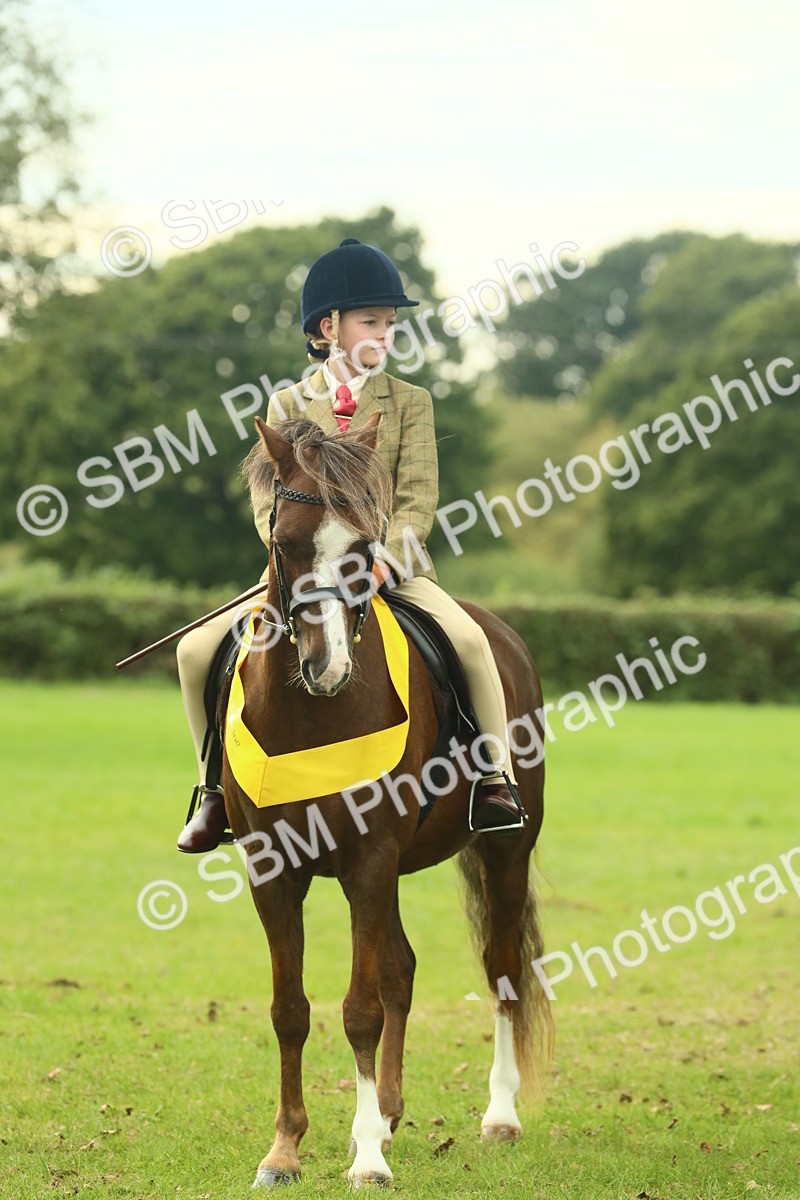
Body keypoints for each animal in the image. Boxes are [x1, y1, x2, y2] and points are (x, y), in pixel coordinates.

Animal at [223, 412, 551, 1189]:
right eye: (285, 543)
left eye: (364, 548)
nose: (327, 668)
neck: (308, 716)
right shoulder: (273, 869)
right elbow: (291, 1009)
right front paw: (285, 1150)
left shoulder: (369, 856)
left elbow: (360, 1009)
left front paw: (367, 1158)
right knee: (401, 967)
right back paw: (389, 1114)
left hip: (504, 849)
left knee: (500, 967)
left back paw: (497, 1116)